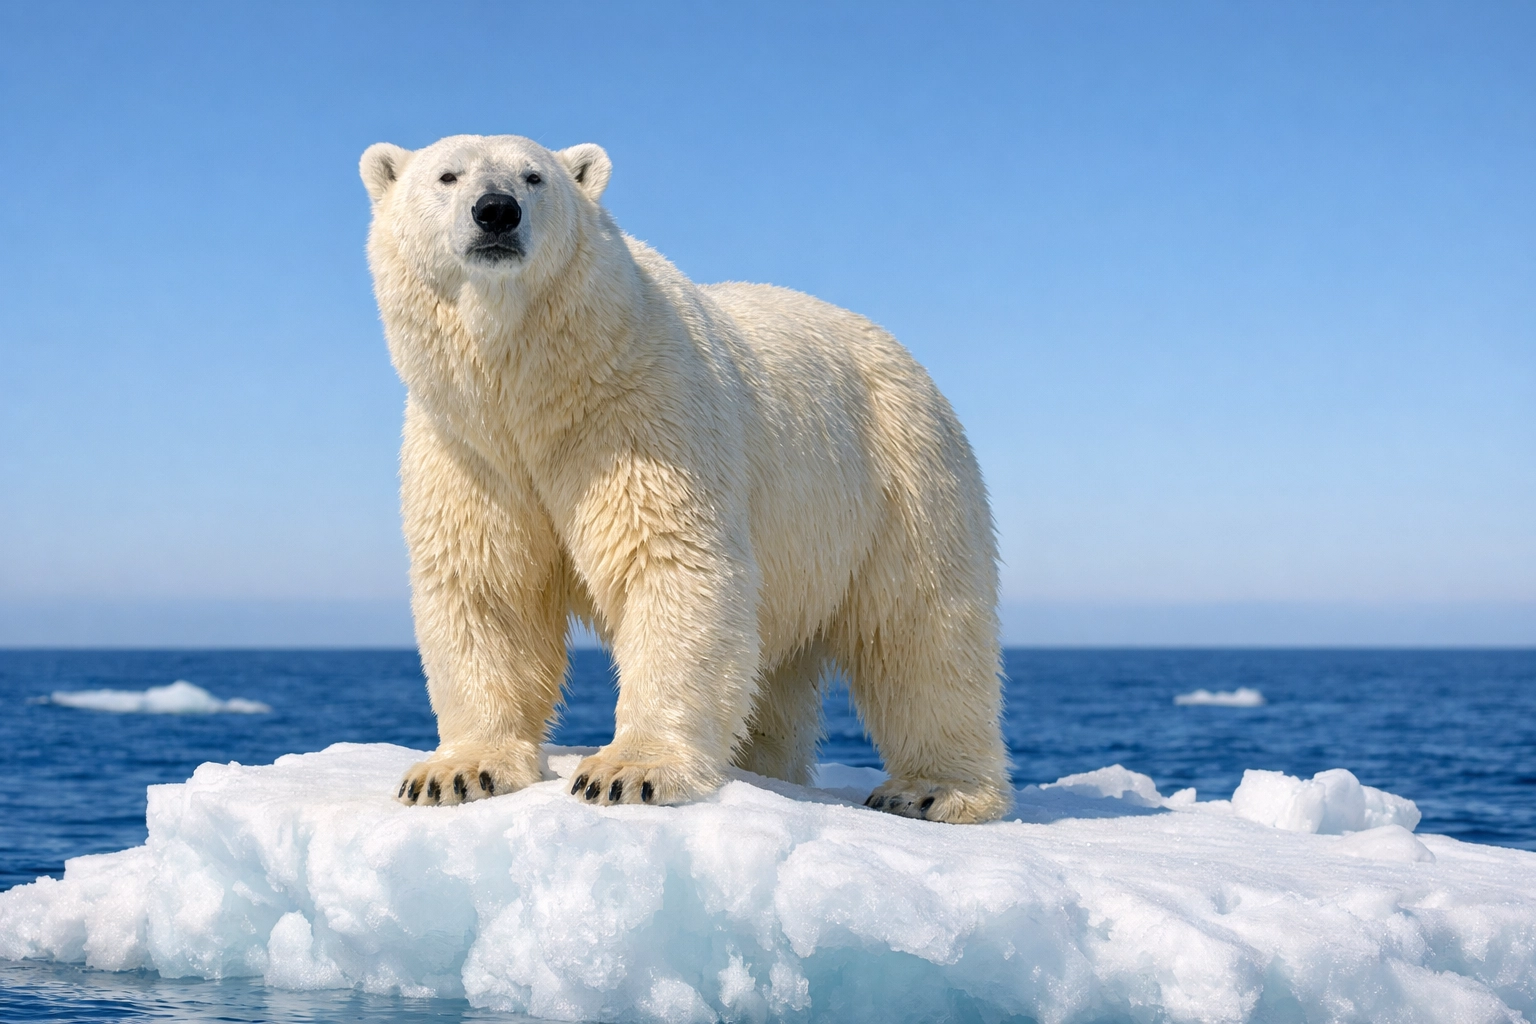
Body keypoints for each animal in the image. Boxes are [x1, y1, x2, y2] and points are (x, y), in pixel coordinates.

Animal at [361, 134, 1011, 823]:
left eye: (534, 177)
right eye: (447, 175)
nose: (496, 211)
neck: (534, 388)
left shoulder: (640, 412)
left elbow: (668, 563)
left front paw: (628, 772)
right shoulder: (470, 450)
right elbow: (487, 587)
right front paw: (455, 772)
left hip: (899, 472)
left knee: (924, 627)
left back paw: (935, 788)